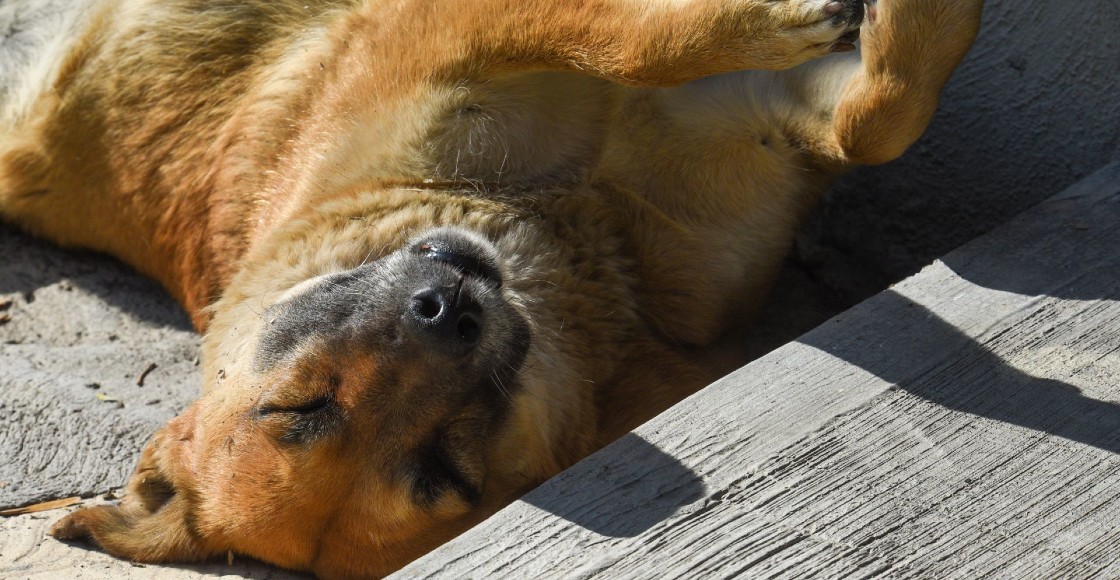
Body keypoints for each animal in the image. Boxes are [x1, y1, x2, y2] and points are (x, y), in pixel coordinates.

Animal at [0, 0, 981, 577]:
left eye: (296, 406)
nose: (448, 308)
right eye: (445, 471)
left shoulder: (453, 39)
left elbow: (872, 111)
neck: (581, 241)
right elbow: (866, 114)